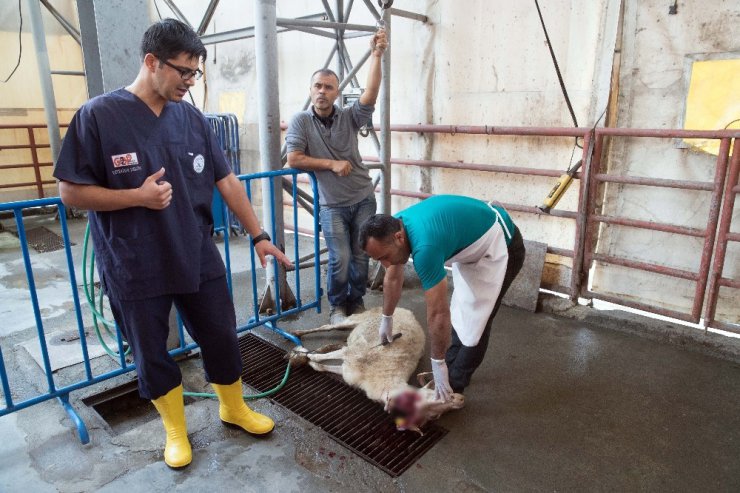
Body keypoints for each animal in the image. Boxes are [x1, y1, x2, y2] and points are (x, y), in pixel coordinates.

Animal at [288, 306, 462, 432]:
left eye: (435, 417)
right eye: (437, 395)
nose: (461, 400)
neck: (384, 379)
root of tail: (406, 311)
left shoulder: (348, 371)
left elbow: (321, 366)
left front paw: (310, 361)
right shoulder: (353, 352)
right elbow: (323, 357)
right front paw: (304, 355)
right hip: (358, 318)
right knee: (329, 326)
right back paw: (298, 332)